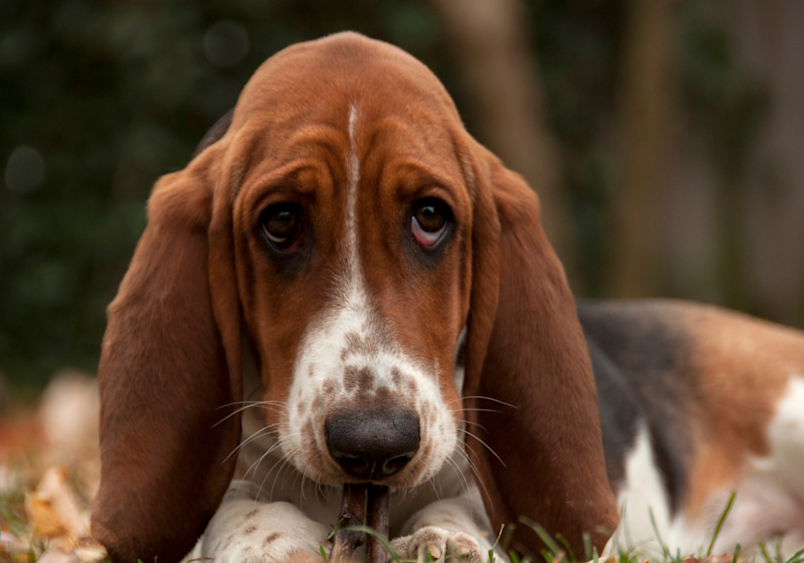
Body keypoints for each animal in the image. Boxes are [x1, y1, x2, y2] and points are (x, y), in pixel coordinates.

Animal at [89, 33, 804, 560]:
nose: (373, 444)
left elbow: (471, 501)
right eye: (281, 221)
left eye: (430, 216)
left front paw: (446, 539)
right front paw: (274, 538)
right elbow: (237, 505)